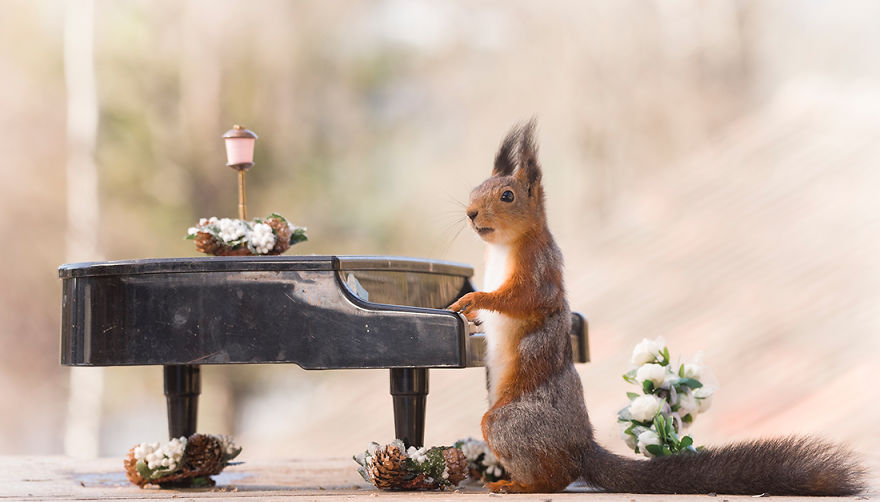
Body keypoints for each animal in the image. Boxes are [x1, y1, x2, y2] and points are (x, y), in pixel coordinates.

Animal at [447, 120, 865, 495]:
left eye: (507, 196)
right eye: (474, 189)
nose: (470, 213)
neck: (504, 247)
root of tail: (581, 447)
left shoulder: (539, 272)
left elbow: (521, 299)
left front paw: (472, 301)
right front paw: (470, 313)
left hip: (509, 425)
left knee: (553, 475)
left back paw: (516, 484)